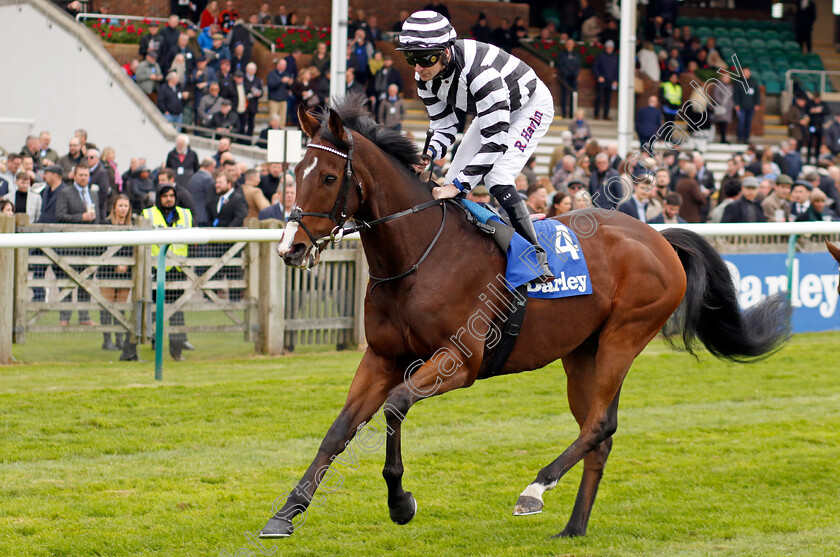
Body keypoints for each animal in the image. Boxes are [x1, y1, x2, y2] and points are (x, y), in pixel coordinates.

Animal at [260, 100, 792, 540]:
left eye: (329, 178)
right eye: (295, 172)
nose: (291, 248)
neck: (418, 255)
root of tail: (659, 237)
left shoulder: (459, 362)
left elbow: (395, 405)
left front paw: (400, 502)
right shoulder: (382, 356)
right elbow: (339, 430)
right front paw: (285, 514)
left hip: (624, 336)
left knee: (600, 424)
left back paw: (535, 489)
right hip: (582, 352)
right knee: (597, 432)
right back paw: (574, 528)